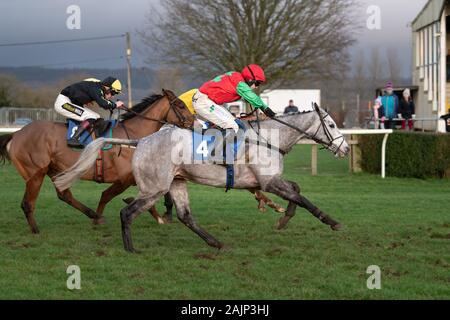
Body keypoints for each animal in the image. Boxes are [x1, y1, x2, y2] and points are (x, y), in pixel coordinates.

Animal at [54, 105, 352, 252]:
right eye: (332, 124)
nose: (346, 148)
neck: (269, 139)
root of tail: (141, 141)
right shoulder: (268, 182)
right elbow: (302, 197)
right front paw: (332, 221)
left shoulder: (263, 183)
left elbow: (296, 191)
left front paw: (283, 219)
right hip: (155, 187)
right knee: (127, 212)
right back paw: (131, 249)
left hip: (176, 182)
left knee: (185, 216)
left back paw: (215, 242)